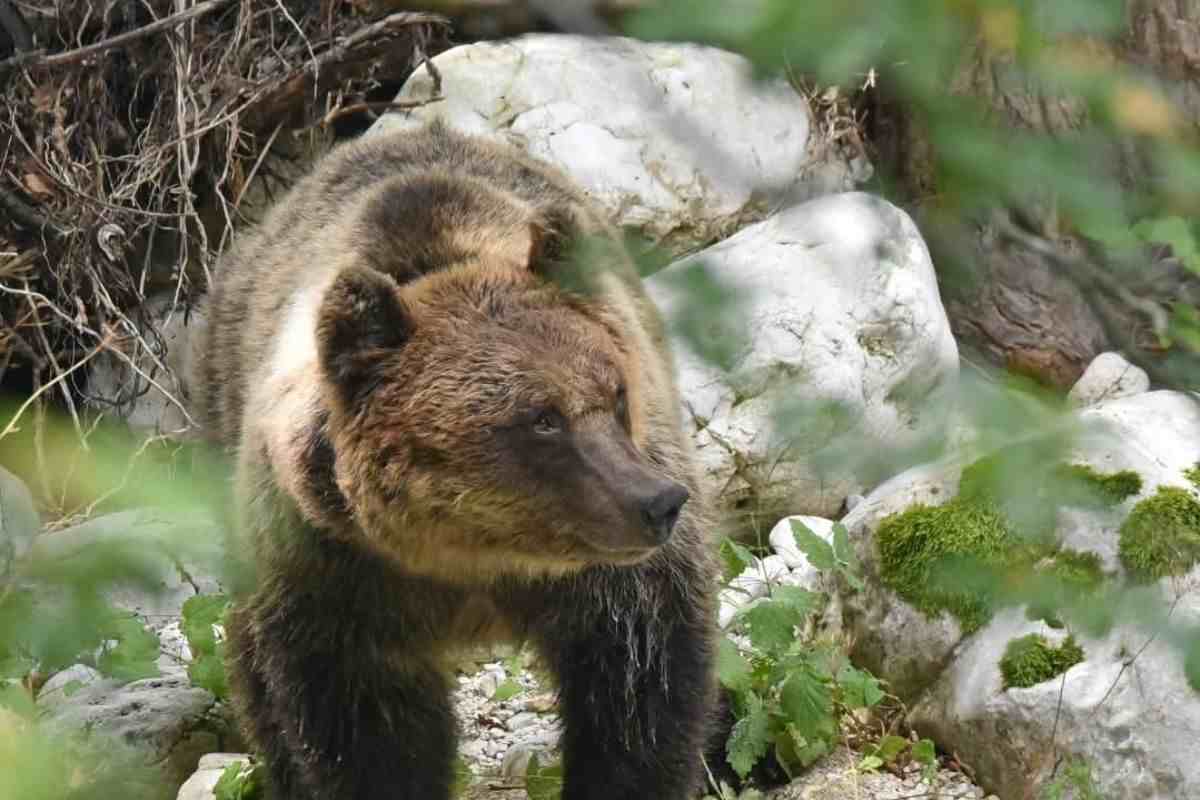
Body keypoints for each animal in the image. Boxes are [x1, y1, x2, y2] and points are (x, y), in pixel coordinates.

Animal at [189, 119, 721, 800]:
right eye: (541, 418)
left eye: (616, 392)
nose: (656, 501)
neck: (476, 554)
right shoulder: (334, 568)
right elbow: (365, 726)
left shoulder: (611, 577)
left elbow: (640, 679)